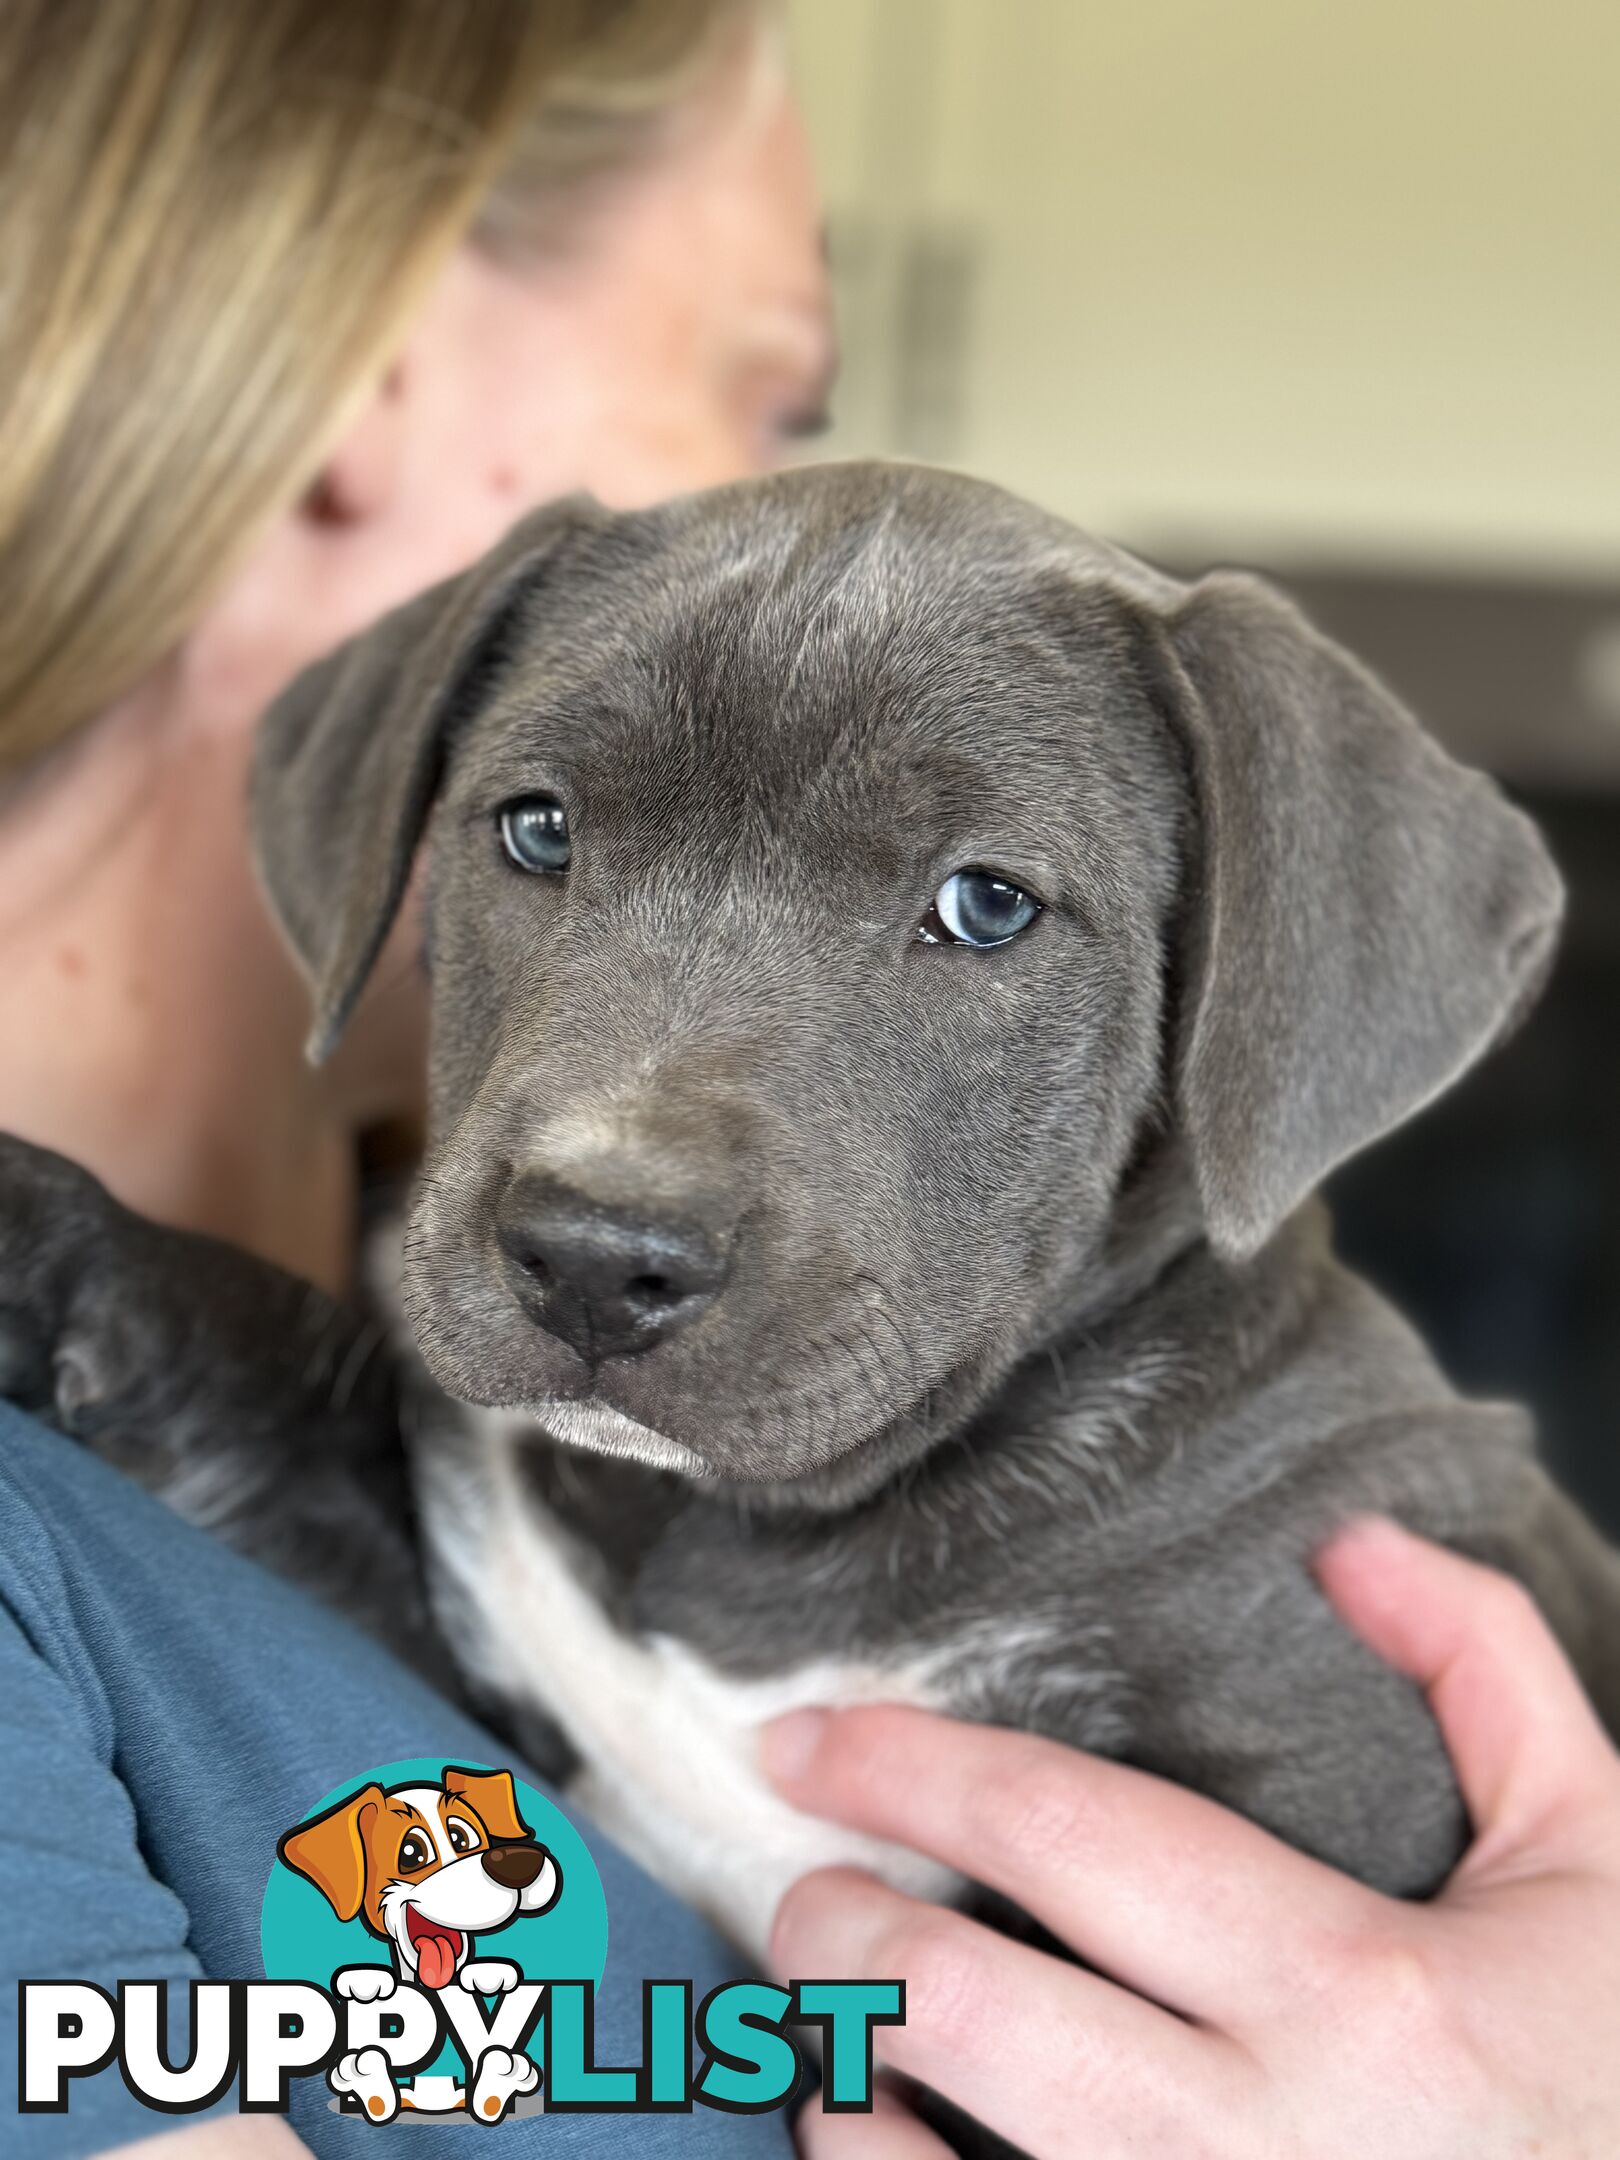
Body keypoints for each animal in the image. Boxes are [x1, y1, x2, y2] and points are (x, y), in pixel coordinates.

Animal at [3, 468, 1620, 1978]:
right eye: (537, 828)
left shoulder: (1323, 1766)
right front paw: (52, 1252)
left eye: (986, 905)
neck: (745, 1535)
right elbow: (274, 1422)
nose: (594, 1256)